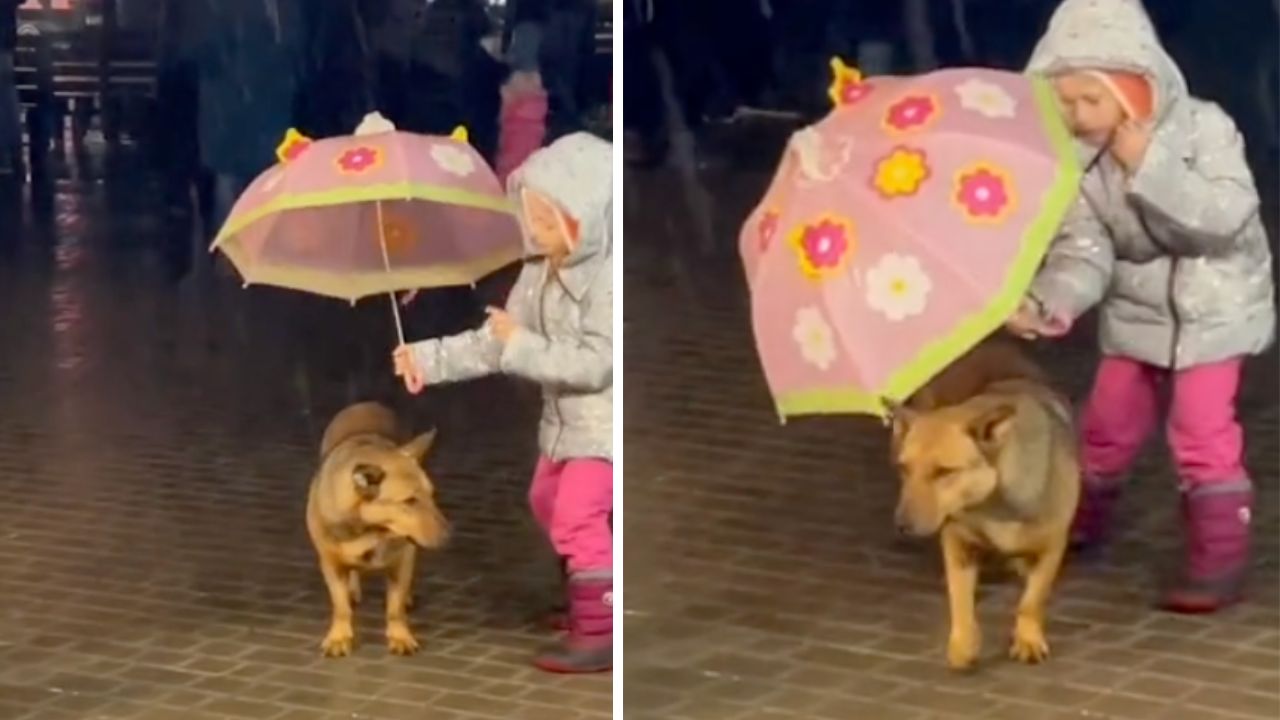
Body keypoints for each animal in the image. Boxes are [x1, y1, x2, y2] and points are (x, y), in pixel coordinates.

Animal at [305, 399, 450, 653]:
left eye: (432, 495)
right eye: (409, 501)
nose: (449, 534)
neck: (371, 530)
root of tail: (365, 404)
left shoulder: (403, 560)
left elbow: (395, 607)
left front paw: (400, 636)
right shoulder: (330, 563)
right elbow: (340, 606)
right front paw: (339, 637)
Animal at [890, 338, 1080, 671]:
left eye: (944, 472)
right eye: (904, 469)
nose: (901, 525)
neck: (992, 503)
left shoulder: (1053, 546)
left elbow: (1032, 599)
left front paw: (1027, 638)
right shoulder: (957, 542)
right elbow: (960, 597)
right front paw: (963, 642)